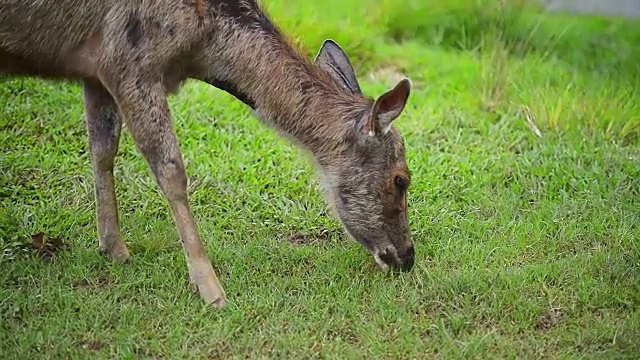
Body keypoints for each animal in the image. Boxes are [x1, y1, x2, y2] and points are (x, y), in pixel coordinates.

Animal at [0, 0, 416, 310]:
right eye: (402, 180)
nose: (407, 257)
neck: (198, 47)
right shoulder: (127, 61)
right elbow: (171, 171)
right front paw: (211, 290)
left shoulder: (94, 69)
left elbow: (102, 149)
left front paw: (113, 248)